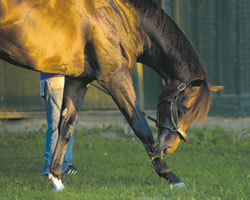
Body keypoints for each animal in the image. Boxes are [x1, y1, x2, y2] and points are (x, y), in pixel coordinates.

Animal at [0, 0, 223, 191]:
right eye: (184, 108)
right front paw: (170, 176)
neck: (116, 16)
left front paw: (56, 179)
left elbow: (66, 126)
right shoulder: (115, 77)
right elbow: (141, 127)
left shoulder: (79, 80)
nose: (167, 148)